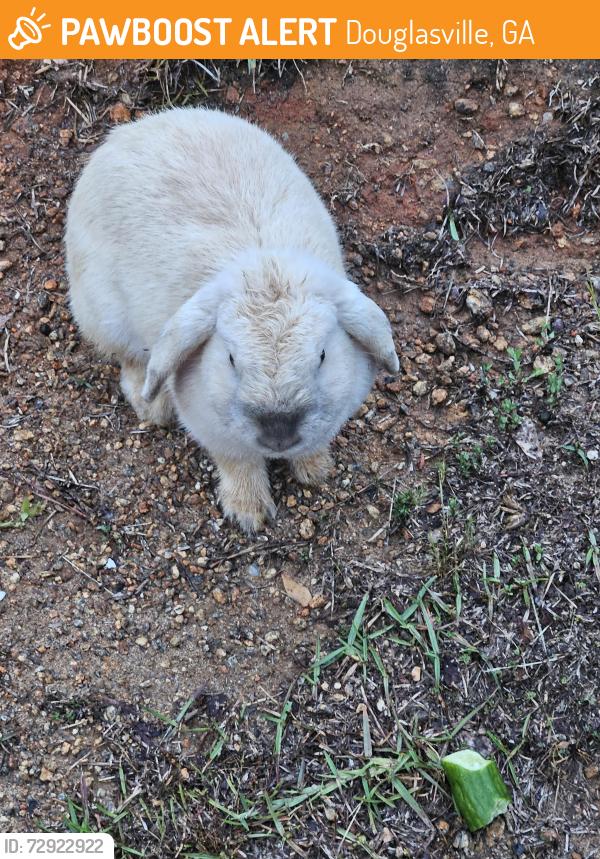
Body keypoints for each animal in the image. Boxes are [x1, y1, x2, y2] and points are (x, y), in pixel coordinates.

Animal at [66, 107, 399, 533]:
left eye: (323, 356)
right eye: (230, 359)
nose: (278, 432)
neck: (265, 268)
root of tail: (131, 130)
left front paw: (316, 470)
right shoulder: (215, 431)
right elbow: (239, 462)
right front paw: (248, 512)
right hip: (105, 314)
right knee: (130, 360)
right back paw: (152, 408)